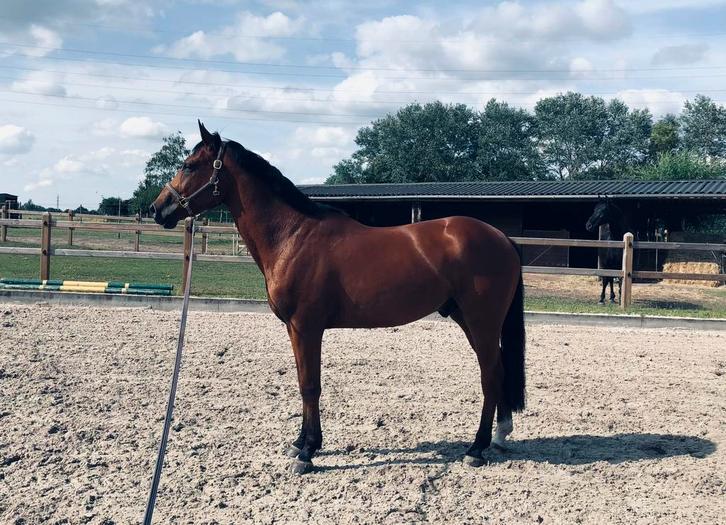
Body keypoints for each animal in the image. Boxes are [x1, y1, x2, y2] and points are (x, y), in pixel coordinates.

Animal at [151, 121, 526, 474]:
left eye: (188, 165)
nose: (158, 209)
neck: (293, 235)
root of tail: (502, 238)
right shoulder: (294, 329)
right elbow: (303, 381)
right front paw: (300, 443)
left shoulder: (307, 327)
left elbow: (310, 385)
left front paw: (308, 452)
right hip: (468, 319)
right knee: (497, 370)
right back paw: (498, 436)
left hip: (481, 322)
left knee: (490, 375)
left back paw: (476, 448)